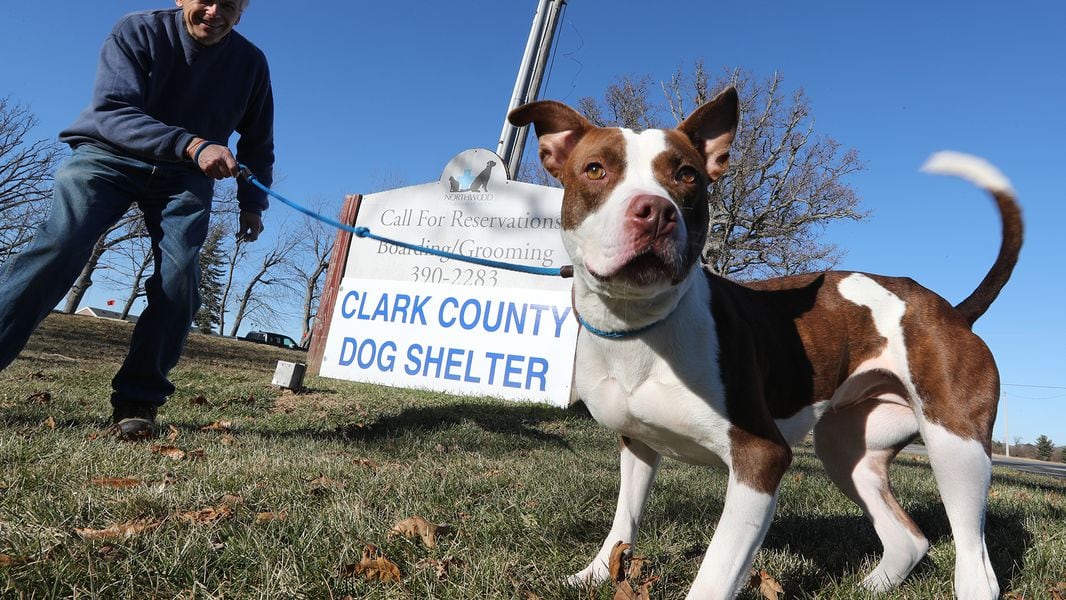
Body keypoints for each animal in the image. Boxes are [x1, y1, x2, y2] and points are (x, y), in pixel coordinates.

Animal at [509, 85, 1023, 600]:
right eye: (595, 169)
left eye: (686, 174)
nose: (655, 211)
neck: (643, 326)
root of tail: (952, 311)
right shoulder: (637, 444)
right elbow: (624, 519)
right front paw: (596, 572)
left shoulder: (760, 461)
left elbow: (715, 573)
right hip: (847, 451)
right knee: (908, 538)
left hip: (956, 448)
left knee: (974, 559)